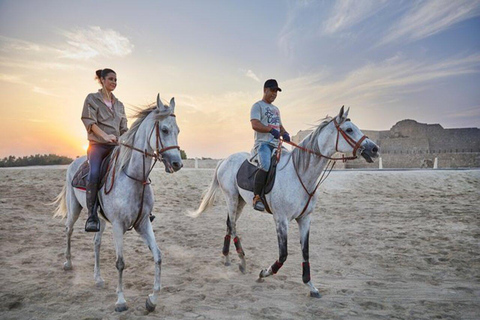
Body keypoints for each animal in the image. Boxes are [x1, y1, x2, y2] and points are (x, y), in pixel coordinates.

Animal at [51, 94, 181, 312]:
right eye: (164, 129)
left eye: (177, 130)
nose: (177, 164)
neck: (134, 178)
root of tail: (74, 163)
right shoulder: (119, 226)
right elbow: (120, 262)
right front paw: (120, 301)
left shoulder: (143, 223)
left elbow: (158, 255)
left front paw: (152, 299)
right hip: (75, 209)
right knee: (68, 230)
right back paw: (67, 263)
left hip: (100, 220)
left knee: (96, 243)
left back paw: (98, 279)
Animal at [194, 107, 378, 298]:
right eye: (349, 130)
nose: (374, 148)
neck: (300, 174)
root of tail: (224, 160)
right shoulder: (281, 220)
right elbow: (283, 255)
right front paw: (263, 274)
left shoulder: (305, 219)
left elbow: (305, 252)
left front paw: (310, 285)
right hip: (231, 197)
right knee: (233, 226)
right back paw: (242, 260)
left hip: (240, 201)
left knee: (229, 224)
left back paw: (227, 257)